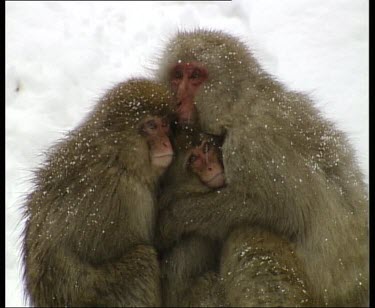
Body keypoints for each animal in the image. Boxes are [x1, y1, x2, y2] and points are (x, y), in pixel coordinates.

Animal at [22, 80, 176, 308]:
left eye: (164, 125)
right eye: (151, 126)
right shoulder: (124, 199)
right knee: (143, 260)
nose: (166, 143)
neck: (118, 157)